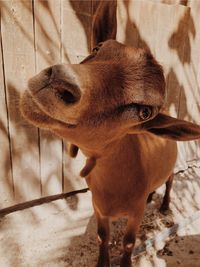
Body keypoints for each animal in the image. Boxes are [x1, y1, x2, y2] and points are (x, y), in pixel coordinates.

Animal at [19, 1, 200, 266]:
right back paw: (150, 196)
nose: (59, 81)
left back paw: (165, 205)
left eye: (145, 112)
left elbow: (128, 242)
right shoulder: (98, 206)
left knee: (169, 181)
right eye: (96, 48)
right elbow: (102, 236)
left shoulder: (135, 214)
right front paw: (102, 261)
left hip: (171, 165)